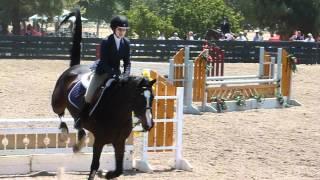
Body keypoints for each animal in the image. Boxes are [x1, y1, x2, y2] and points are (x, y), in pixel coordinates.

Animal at [50, 9, 156, 179]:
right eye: (138, 99)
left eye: (152, 98)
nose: (149, 124)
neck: (117, 112)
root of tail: (73, 68)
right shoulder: (99, 141)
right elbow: (94, 166)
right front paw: (101, 173)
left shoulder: (119, 142)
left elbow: (118, 170)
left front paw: (107, 174)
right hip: (57, 102)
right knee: (60, 114)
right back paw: (65, 134)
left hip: (76, 114)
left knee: (78, 124)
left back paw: (78, 143)